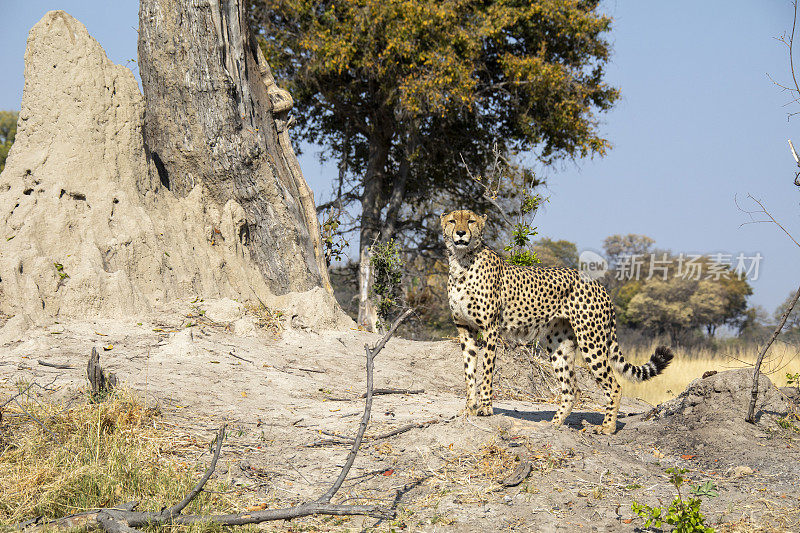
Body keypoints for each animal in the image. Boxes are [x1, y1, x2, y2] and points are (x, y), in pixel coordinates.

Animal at [440, 208, 672, 432]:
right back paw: (554, 424)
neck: (461, 261)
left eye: (470, 221)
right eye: (453, 221)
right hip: (559, 343)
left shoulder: (490, 328)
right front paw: (469, 408)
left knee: (614, 385)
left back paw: (607, 427)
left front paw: (486, 408)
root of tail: (599, 284)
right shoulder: (465, 329)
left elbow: (487, 369)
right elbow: (469, 370)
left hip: (591, 340)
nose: (460, 233)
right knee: (572, 389)